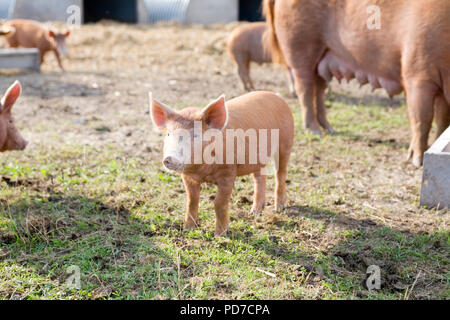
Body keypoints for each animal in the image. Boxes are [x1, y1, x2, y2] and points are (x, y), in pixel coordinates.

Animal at [149, 91, 294, 236]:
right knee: (260, 178)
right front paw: (188, 229)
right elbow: (192, 200)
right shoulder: (188, 176)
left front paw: (220, 234)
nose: (169, 158)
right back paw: (254, 212)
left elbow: (219, 202)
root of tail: (276, 96)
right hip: (258, 158)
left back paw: (279, 207)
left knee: (280, 173)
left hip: (286, 141)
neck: (203, 171)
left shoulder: (228, 172)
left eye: (195, 135)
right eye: (168, 134)